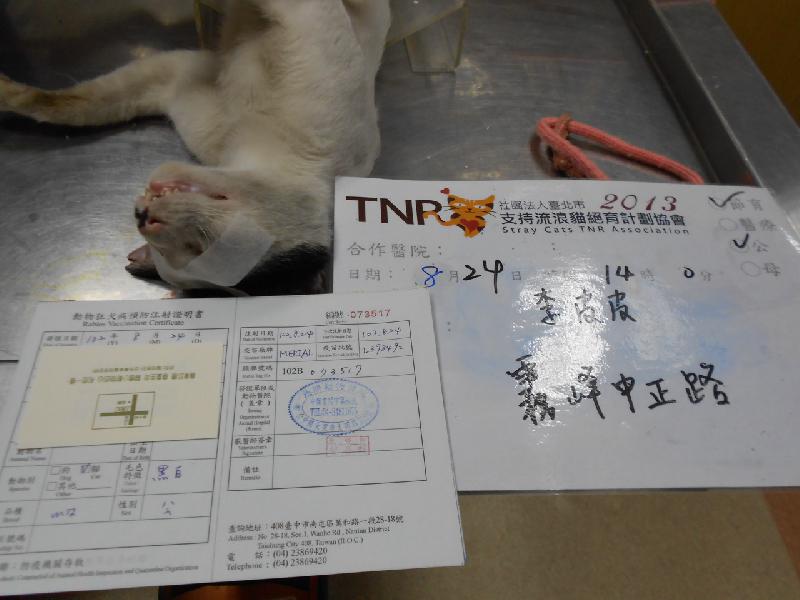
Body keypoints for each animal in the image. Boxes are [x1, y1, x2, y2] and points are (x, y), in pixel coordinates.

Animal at [0, 0, 391, 294]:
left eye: (197, 248)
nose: (143, 215)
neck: (253, 139)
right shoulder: (178, 83)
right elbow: (70, 103)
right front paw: (8, 91)